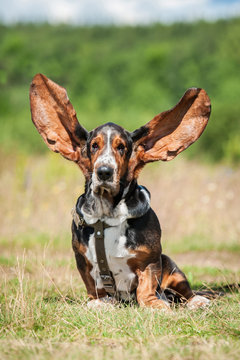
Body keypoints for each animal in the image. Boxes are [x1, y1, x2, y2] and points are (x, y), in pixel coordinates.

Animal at [30, 73, 212, 310]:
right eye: (94, 146)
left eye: (121, 147)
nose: (104, 172)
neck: (107, 214)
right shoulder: (83, 262)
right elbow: (94, 289)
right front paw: (98, 303)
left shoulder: (151, 259)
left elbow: (146, 287)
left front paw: (154, 303)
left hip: (171, 266)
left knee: (184, 290)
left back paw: (196, 300)